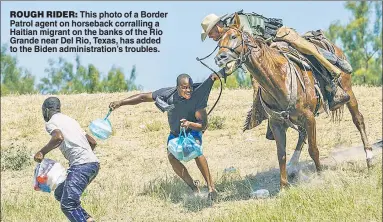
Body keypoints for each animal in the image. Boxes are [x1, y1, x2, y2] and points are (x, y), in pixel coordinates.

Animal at [216, 12, 376, 189]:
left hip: (348, 92)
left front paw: (320, 176)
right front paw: (283, 187)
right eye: (218, 43)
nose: (220, 58)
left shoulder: (309, 117)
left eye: (234, 36)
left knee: (358, 120)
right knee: (302, 134)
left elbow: (313, 149)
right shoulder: (277, 123)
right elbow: (281, 154)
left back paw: (369, 158)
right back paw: (293, 167)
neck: (278, 78)